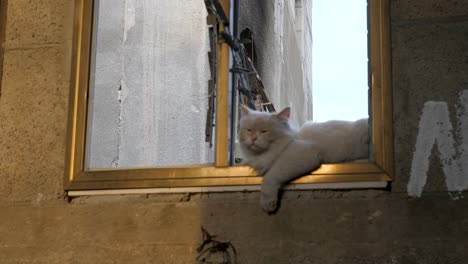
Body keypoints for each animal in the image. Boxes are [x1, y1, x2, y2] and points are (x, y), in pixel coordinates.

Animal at [238, 105, 370, 212]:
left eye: (264, 131)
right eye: (249, 130)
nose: (253, 138)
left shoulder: (301, 154)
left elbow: (270, 177)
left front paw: (268, 204)